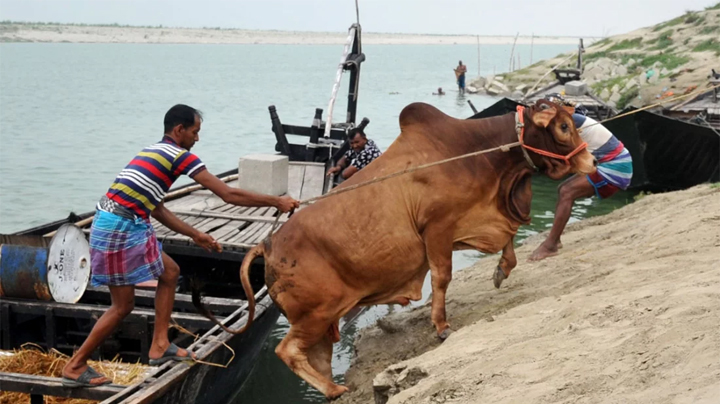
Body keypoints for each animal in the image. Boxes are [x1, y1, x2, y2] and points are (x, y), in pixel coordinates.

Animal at [195, 100, 596, 398]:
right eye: (563, 127)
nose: (591, 161)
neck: (478, 154)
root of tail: (266, 244)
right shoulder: (438, 228)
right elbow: (442, 277)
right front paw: (442, 326)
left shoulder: (477, 222)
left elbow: (508, 246)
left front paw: (500, 273)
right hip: (316, 313)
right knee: (287, 351)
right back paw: (335, 389)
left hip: (322, 322)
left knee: (314, 356)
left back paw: (332, 388)